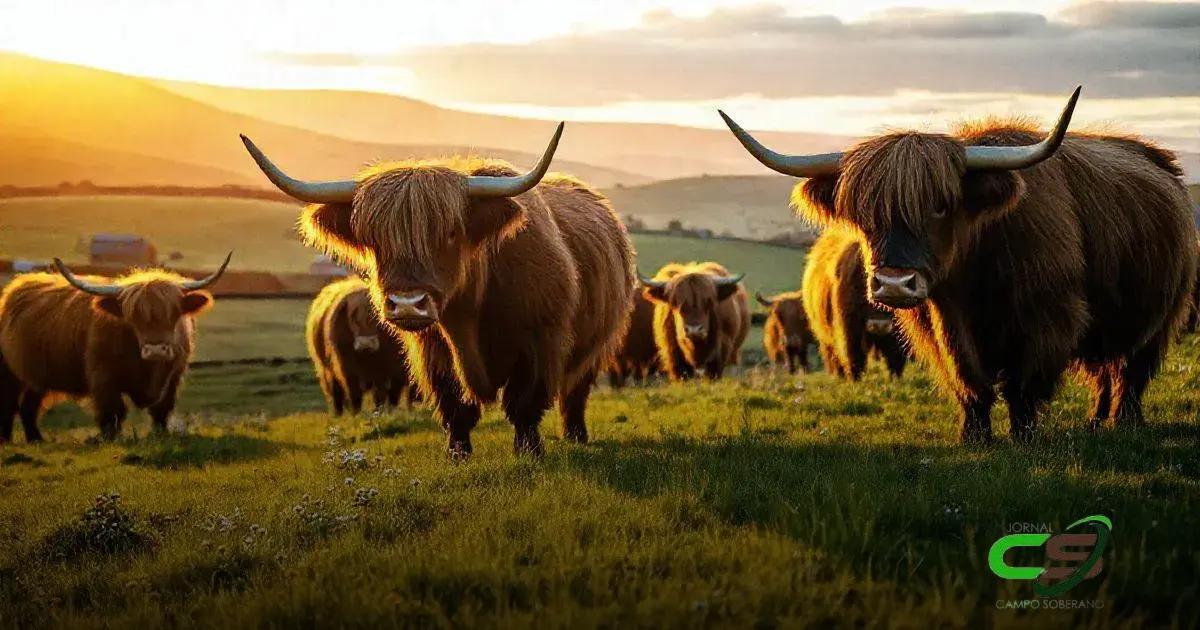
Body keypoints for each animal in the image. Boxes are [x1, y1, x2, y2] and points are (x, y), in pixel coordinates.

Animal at [0, 255, 230, 442]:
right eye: (133, 316)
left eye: (174, 313)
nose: (155, 350)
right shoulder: (103, 376)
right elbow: (113, 411)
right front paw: (109, 439)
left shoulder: (173, 375)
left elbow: (161, 409)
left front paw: (160, 435)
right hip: (8, 373)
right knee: (9, 404)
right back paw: (7, 441)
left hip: (37, 377)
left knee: (28, 406)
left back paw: (36, 440)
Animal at [307, 277, 418, 415]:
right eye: (352, 316)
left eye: (377, 317)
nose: (366, 343)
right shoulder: (346, 367)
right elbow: (353, 392)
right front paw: (356, 413)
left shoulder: (385, 369)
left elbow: (380, 394)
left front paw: (380, 411)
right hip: (325, 369)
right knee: (335, 393)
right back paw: (338, 414)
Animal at [801, 229, 907, 380]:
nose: (879, 325)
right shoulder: (848, 325)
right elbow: (853, 353)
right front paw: (855, 379)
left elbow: (895, 356)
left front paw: (895, 379)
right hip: (824, 336)